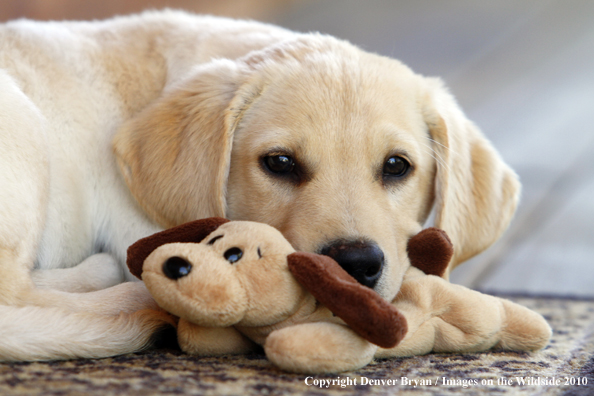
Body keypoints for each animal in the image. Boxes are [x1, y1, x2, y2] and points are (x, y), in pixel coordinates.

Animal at [0, 10, 516, 360]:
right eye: (280, 163)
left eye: (396, 166)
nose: (354, 264)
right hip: (26, 130)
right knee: (15, 298)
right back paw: (126, 294)